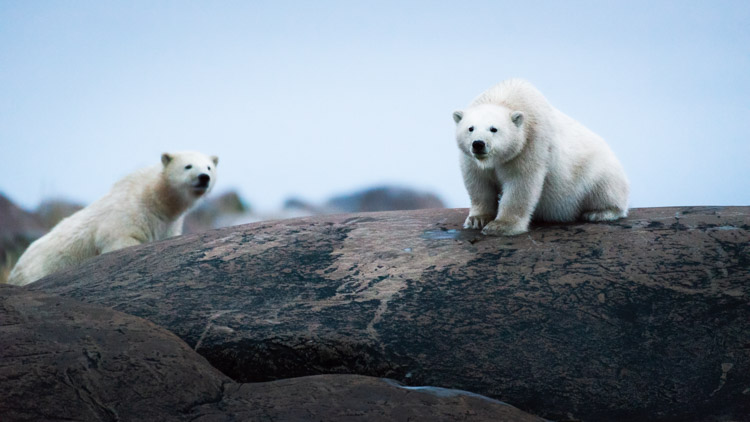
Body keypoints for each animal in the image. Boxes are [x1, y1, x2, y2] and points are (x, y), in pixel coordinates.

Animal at [7, 151, 218, 286]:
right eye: (188, 166)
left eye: (209, 167)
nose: (203, 177)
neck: (155, 199)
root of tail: (13, 271)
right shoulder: (128, 213)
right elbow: (118, 240)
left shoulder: (168, 224)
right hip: (38, 269)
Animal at [453, 79, 629, 236]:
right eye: (470, 128)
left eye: (493, 129)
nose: (478, 144)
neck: (508, 96)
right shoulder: (471, 159)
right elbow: (479, 183)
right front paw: (477, 220)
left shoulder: (530, 143)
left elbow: (521, 182)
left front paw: (501, 226)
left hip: (597, 172)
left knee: (604, 190)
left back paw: (598, 212)